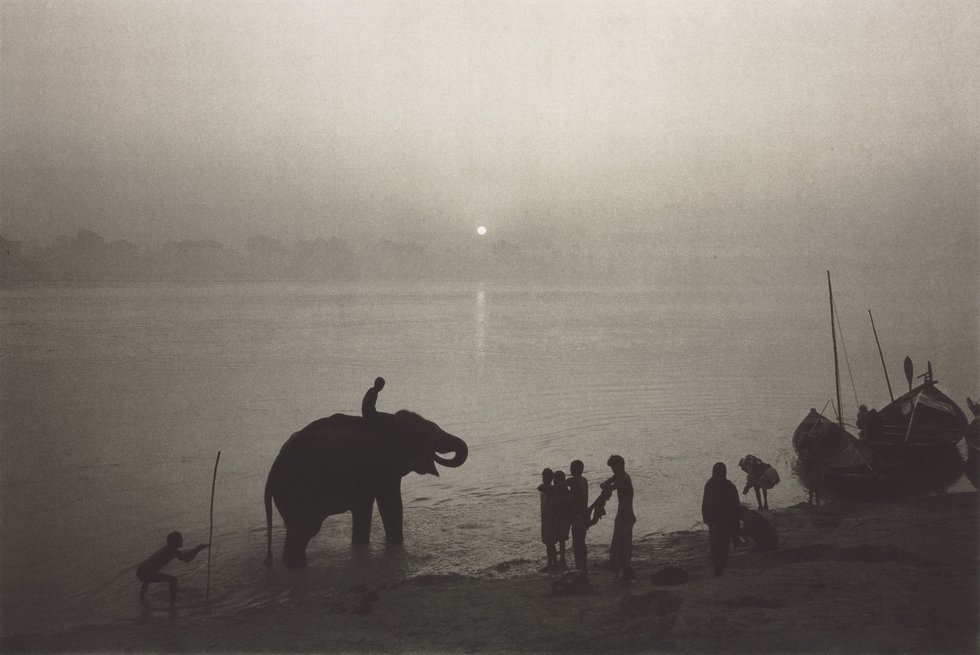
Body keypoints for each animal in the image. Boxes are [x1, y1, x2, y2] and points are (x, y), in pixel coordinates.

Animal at [264, 410, 468, 568]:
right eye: (425, 433)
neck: (388, 421)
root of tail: (273, 470)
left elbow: (364, 509)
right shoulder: (382, 470)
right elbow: (391, 505)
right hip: (301, 491)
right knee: (304, 530)